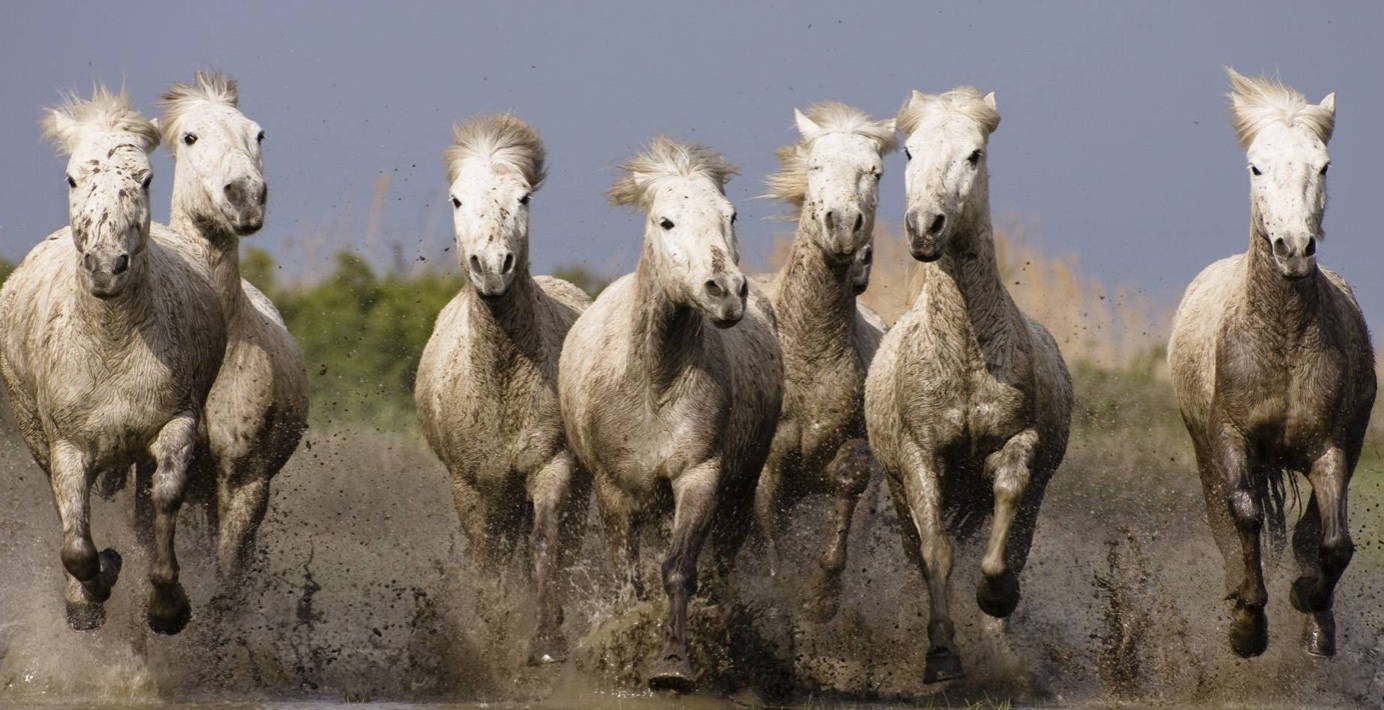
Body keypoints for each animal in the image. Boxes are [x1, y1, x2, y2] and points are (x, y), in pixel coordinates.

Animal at [1168, 69, 1372, 656]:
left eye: (1323, 165)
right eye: (1256, 166)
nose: (1294, 248)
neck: (1281, 341)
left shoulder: (1330, 447)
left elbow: (1332, 542)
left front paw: (1310, 606)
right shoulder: (1230, 439)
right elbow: (1244, 517)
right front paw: (1248, 624)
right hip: (1206, 454)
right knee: (1226, 523)